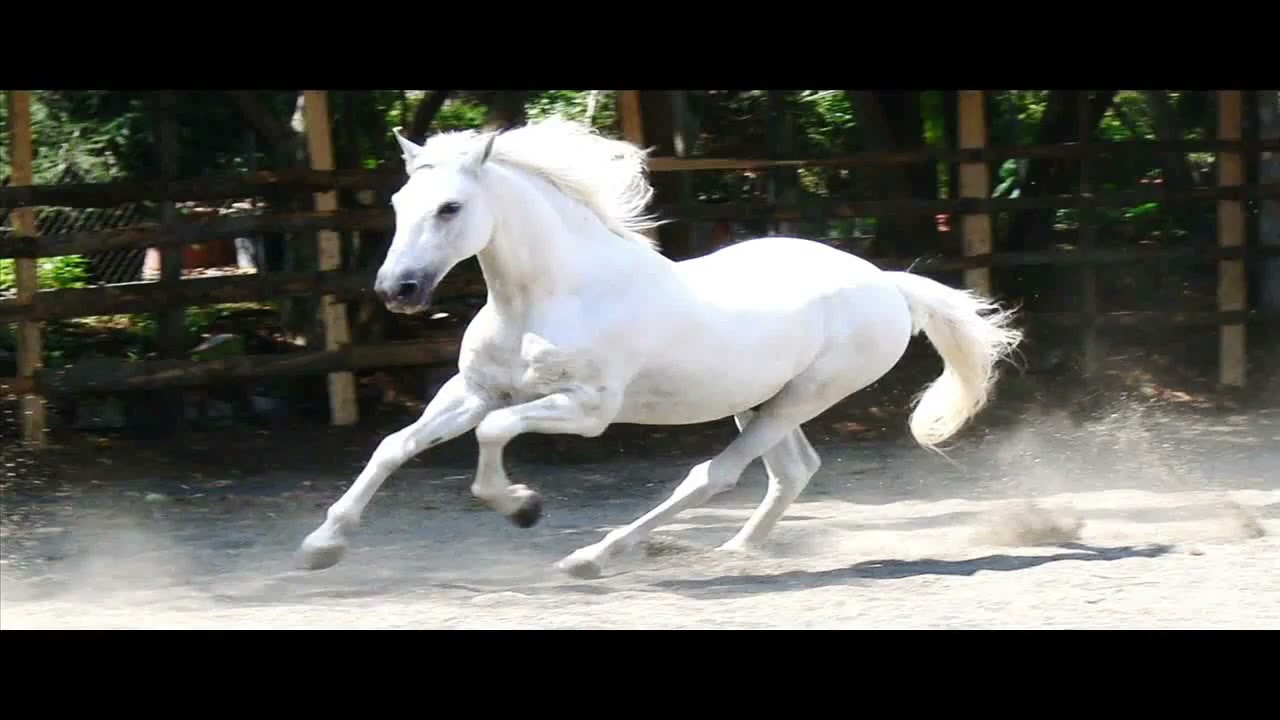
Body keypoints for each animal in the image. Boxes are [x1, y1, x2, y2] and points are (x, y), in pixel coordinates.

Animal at [296, 116, 1023, 579]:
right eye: (399, 201)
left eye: (450, 208)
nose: (397, 290)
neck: (545, 297)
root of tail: (886, 283)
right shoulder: (475, 390)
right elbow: (394, 446)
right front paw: (321, 546)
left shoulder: (586, 409)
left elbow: (494, 434)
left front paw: (522, 506)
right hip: (758, 399)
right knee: (792, 471)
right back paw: (736, 550)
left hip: (806, 396)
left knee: (714, 476)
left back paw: (593, 558)